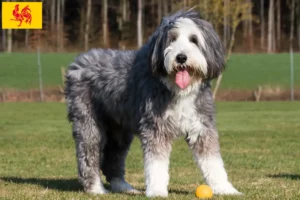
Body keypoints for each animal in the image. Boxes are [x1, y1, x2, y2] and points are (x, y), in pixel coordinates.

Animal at [65, 10, 241, 198]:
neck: (177, 89)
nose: (181, 57)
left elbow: (213, 161)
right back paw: (96, 188)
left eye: (194, 39)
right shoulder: (156, 127)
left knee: (113, 158)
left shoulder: (201, 126)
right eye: (172, 39)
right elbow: (156, 164)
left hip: (120, 129)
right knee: (88, 156)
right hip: (88, 122)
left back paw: (123, 187)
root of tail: (78, 61)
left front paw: (225, 188)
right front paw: (157, 191)